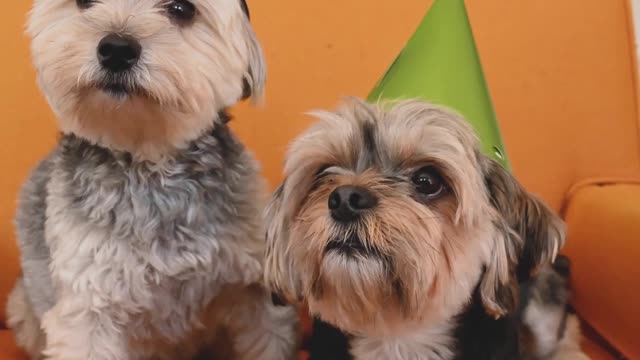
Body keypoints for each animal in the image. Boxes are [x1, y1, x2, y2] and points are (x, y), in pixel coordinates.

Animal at [6, 0, 296, 358]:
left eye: (182, 9)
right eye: (85, 2)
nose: (117, 49)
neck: (151, 165)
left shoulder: (256, 291)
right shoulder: (88, 307)